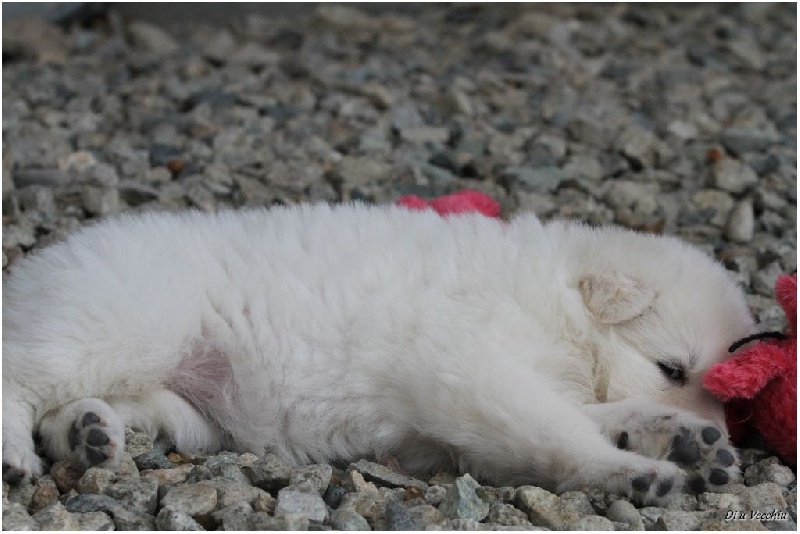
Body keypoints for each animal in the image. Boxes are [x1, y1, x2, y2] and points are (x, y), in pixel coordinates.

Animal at [2, 203, 755, 503]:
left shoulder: (495, 396)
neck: (556, 298)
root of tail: (32, 271)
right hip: (119, 322)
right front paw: (634, 470)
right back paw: (16, 455)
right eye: (671, 368)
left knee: (75, 410)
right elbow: (561, 432)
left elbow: (587, 414)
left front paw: (684, 437)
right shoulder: (471, 371)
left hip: (178, 406)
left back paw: (90, 433)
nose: (714, 425)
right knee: (18, 382)